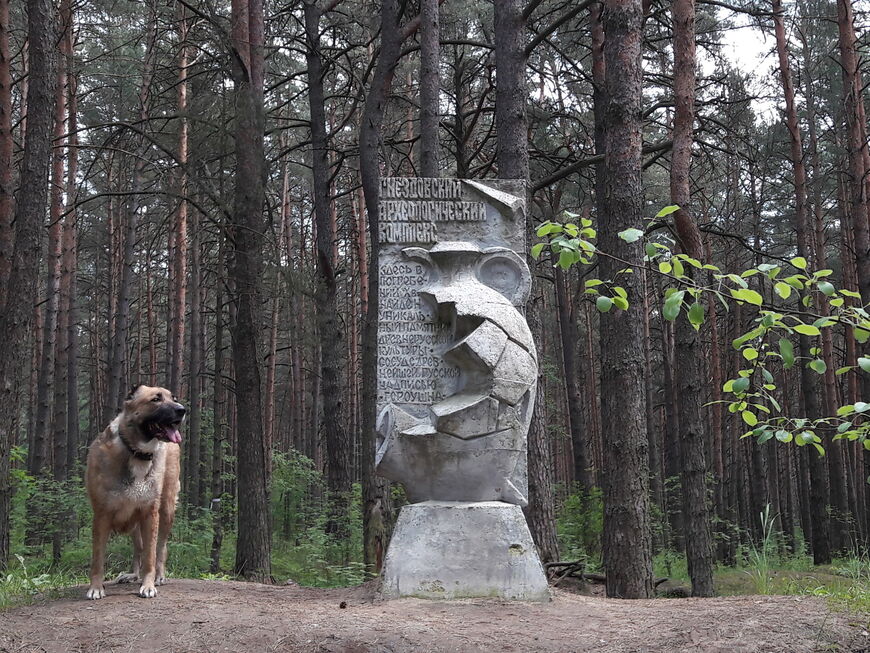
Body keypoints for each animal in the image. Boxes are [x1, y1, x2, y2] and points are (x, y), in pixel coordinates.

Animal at [84, 384, 184, 600]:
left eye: (174, 398)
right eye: (156, 399)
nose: (182, 409)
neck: (137, 452)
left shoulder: (150, 513)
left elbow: (150, 555)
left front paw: (148, 585)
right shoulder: (102, 515)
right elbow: (98, 558)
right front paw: (96, 587)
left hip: (166, 511)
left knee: (160, 548)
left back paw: (159, 576)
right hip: (134, 522)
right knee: (138, 547)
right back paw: (132, 575)